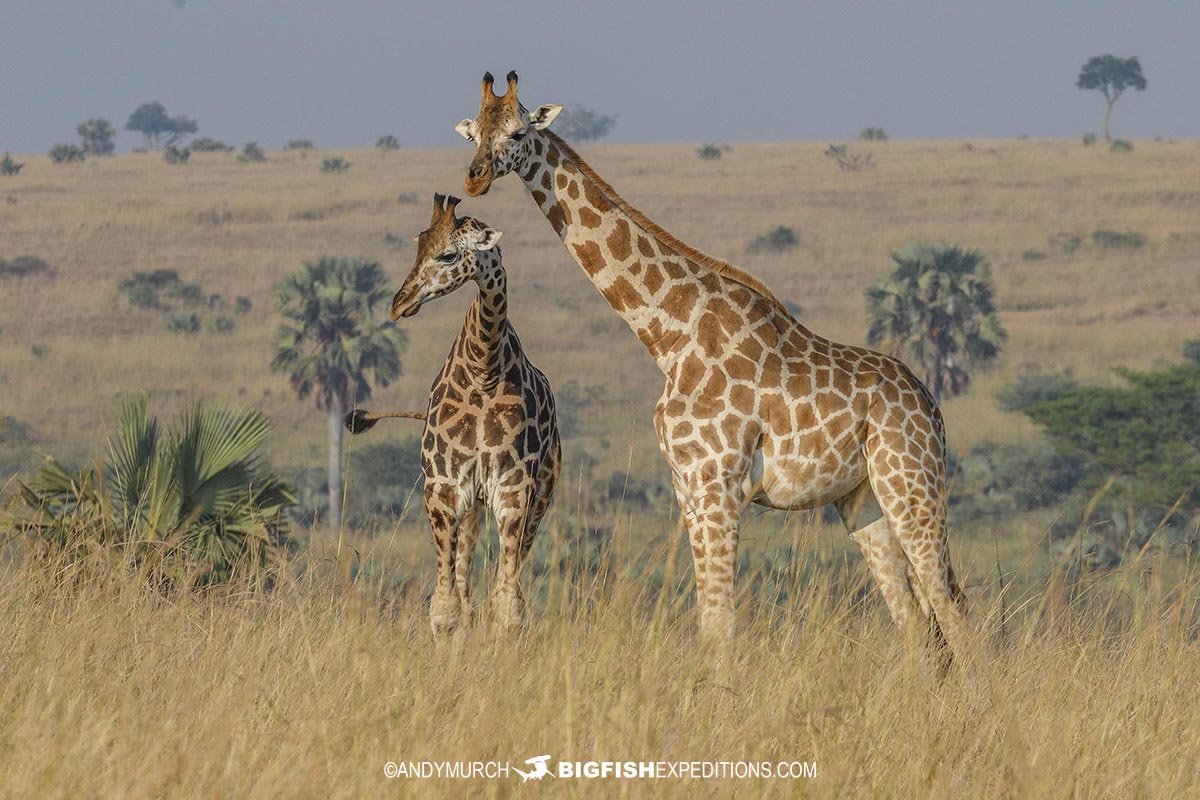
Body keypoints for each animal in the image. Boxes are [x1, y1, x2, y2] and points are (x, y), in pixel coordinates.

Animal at [348, 194, 561, 638]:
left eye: (448, 254)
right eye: (418, 245)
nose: (399, 303)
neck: (484, 368)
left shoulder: (514, 490)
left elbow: (507, 608)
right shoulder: (443, 489)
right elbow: (446, 607)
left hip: (538, 498)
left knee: (501, 587)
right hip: (473, 504)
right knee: (465, 589)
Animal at [453, 70, 969, 662]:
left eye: (517, 133)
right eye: (474, 134)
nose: (473, 179)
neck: (669, 336)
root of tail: (931, 407)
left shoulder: (718, 483)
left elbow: (722, 622)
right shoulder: (689, 488)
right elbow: (708, 619)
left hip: (911, 483)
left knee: (953, 609)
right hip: (863, 501)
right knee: (913, 620)